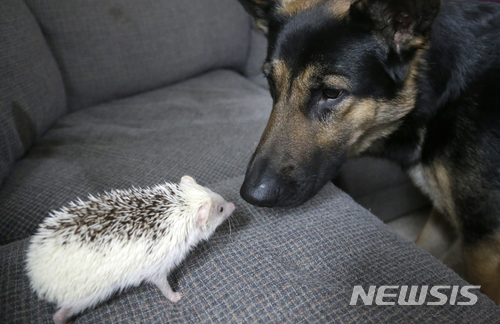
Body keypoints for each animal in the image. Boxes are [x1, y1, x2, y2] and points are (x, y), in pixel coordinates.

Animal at [237, 0, 500, 304]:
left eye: (331, 92)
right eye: (271, 84)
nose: (252, 196)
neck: (439, 84)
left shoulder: (484, 245)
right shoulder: (445, 216)